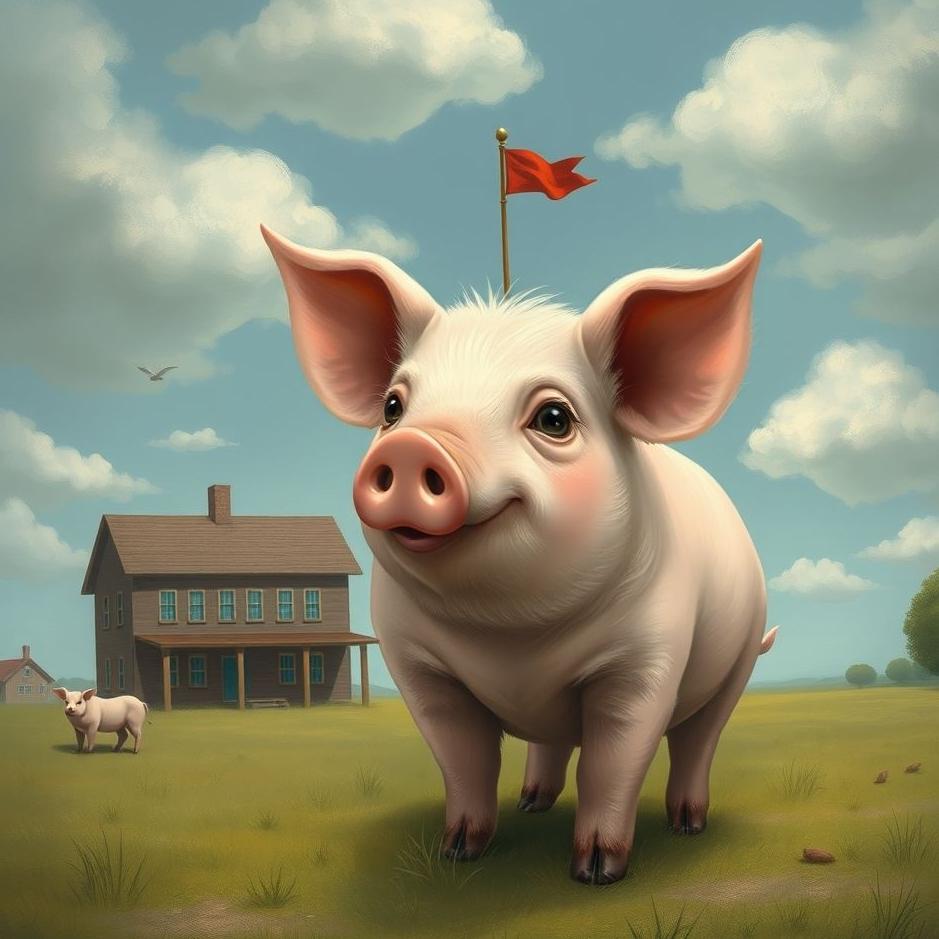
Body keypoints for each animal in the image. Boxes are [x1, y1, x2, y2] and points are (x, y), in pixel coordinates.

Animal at [262, 224, 775, 884]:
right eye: (393, 408)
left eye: (554, 418)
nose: (410, 447)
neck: (512, 637)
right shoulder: (416, 663)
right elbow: (463, 759)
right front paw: (456, 853)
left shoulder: (646, 658)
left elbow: (613, 759)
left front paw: (596, 872)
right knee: (551, 741)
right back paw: (532, 805)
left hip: (740, 653)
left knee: (698, 739)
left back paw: (688, 824)